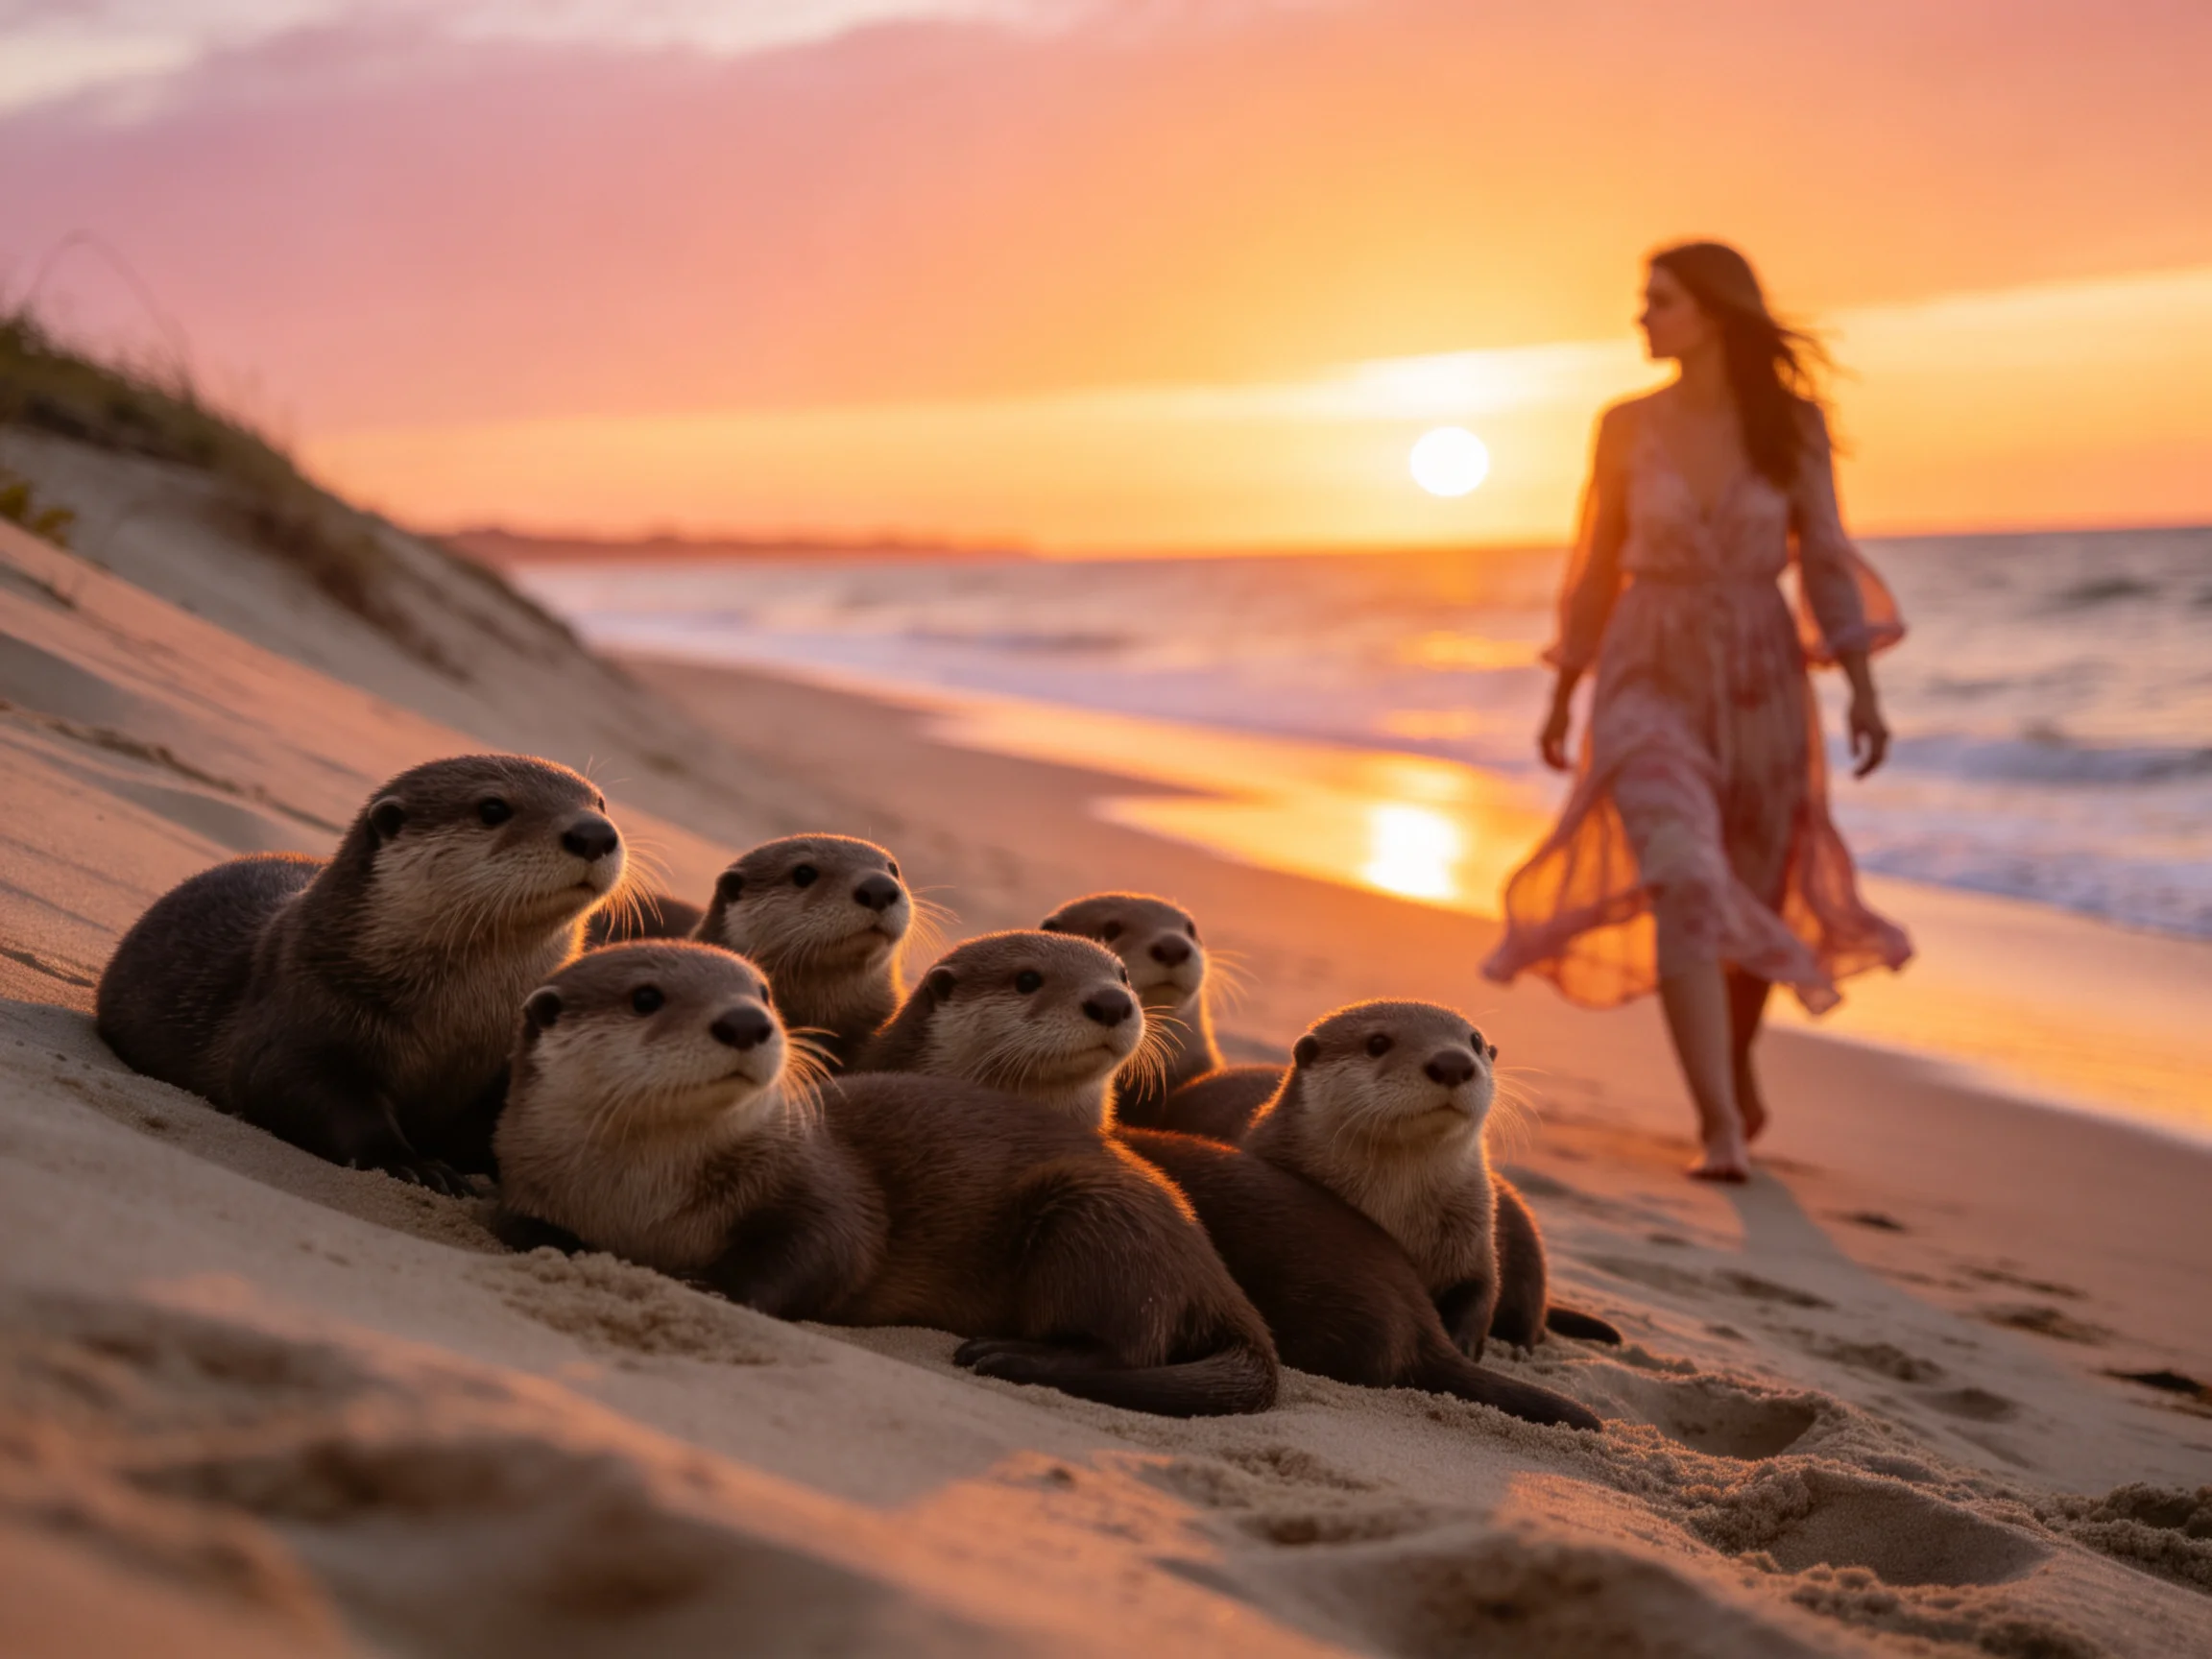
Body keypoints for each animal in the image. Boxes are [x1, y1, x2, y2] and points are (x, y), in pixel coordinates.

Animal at [98, 754, 626, 1193]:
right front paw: (412, 1164)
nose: (595, 833)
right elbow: (298, 1088)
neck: (457, 1027)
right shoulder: (298, 1008)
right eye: (493, 808)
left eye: (599, 802)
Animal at [495, 942, 1278, 1418]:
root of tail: (1215, 1273)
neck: (641, 1197)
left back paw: (1007, 1354)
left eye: (760, 992)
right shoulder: (528, 1182)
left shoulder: (816, 1178)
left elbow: (833, 1246)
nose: (747, 1021)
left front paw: (709, 1287)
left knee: (1131, 1340)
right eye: (645, 997)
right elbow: (517, 1224)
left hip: (1096, 1217)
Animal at [1242, 1001, 1622, 1356]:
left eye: (1475, 1041)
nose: (1453, 1062)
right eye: (1377, 1042)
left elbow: (1481, 1290)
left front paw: (1462, 1345)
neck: (1396, 1211)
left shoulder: (1475, 1235)